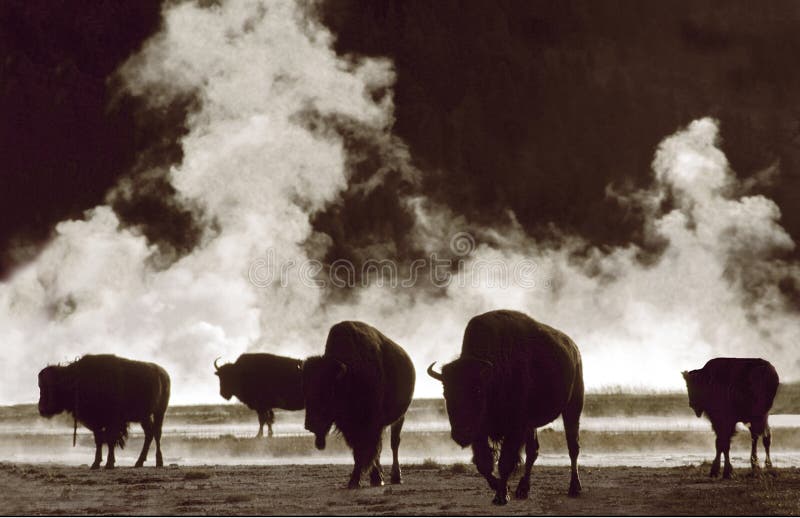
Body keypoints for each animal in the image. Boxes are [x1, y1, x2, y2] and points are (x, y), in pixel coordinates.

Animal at [36, 358, 171, 472]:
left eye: (53, 386)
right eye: (40, 386)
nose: (41, 409)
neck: (75, 379)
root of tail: (163, 373)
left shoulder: (112, 422)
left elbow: (110, 440)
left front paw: (109, 464)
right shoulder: (97, 423)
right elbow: (99, 441)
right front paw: (95, 464)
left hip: (159, 412)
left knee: (157, 433)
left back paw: (159, 462)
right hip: (145, 417)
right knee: (149, 433)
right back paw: (139, 462)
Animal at [304, 322, 416, 490]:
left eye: (329, 392)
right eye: (306, 391)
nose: (310, 425)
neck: (350, 376)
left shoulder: (371, 424)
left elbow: (364, 451)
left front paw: (356, 481)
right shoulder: (351, 428)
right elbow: (362, 452)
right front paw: (365, 479)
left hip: (399, 417)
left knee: (394, 443)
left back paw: (396, 477)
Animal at [428, 310, 584, 506]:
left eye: (477, 390)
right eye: (446, 393)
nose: (461, 434)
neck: (492, 376)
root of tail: (574, 350)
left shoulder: (514, 428)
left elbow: (505, 462)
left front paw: (501, 495)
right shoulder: (481, 432)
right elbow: (484, 463)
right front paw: (503, 488)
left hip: (572, 408)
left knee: (573, 447)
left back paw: (574, 488)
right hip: (532, 425)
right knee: (533, 452)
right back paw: (523, 490)